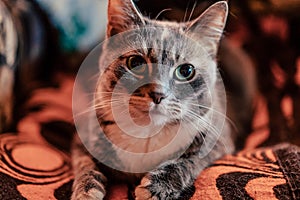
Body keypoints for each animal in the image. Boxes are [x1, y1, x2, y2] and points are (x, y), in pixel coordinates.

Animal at [71, 0, 236, 199]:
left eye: (186, 70)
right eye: (135, 63)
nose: (158, 94)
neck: (148, 133)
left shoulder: (218, 137)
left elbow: (189, 160)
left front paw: (157, 186)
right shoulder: (83, 136)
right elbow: (85, 163)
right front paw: (85, 189)